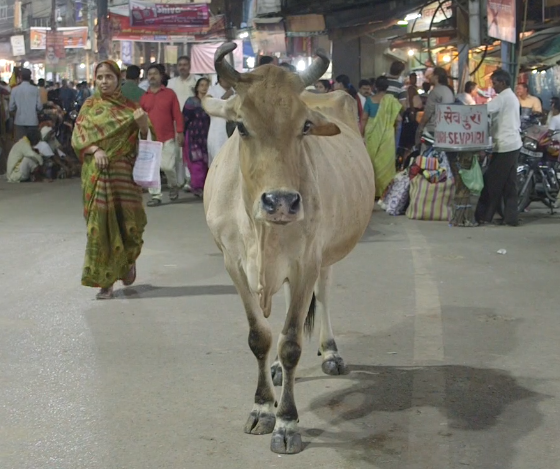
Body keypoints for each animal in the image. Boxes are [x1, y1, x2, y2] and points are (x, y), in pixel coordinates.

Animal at [203, 42, 376, 454]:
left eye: (305, 127)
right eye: (241, 125)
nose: (280, 202)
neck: (261, 232)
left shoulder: (306, 262)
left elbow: (292, 342)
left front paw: (286, 422)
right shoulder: (233, 265)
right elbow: (261, 337)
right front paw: (263, 407)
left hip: (326, 256)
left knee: (323, 294)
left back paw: (330, 351)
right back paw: (279, 371)